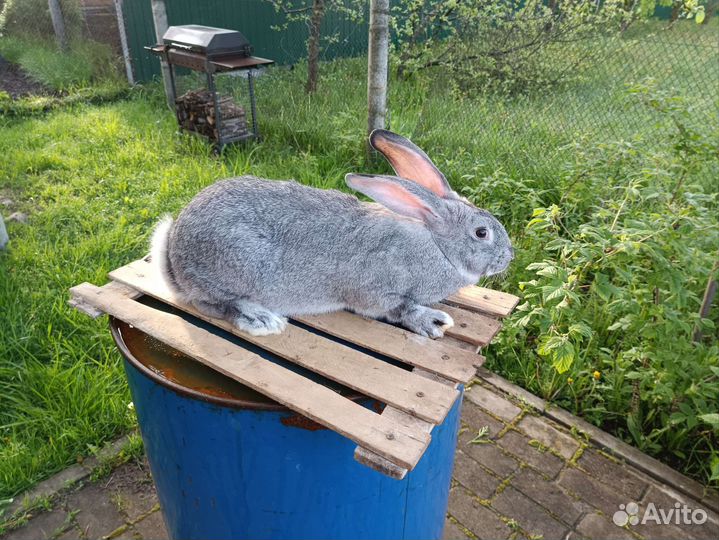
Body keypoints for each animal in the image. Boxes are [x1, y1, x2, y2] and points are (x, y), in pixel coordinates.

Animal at [150, 129, 513, 338]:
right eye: (481, 233)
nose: (509, 258)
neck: (438, 245)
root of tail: (175, 255)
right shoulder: (377, 288)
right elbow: (398, 308)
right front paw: (432, 321)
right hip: (234, 266)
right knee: (211, 304)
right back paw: (261, 319)